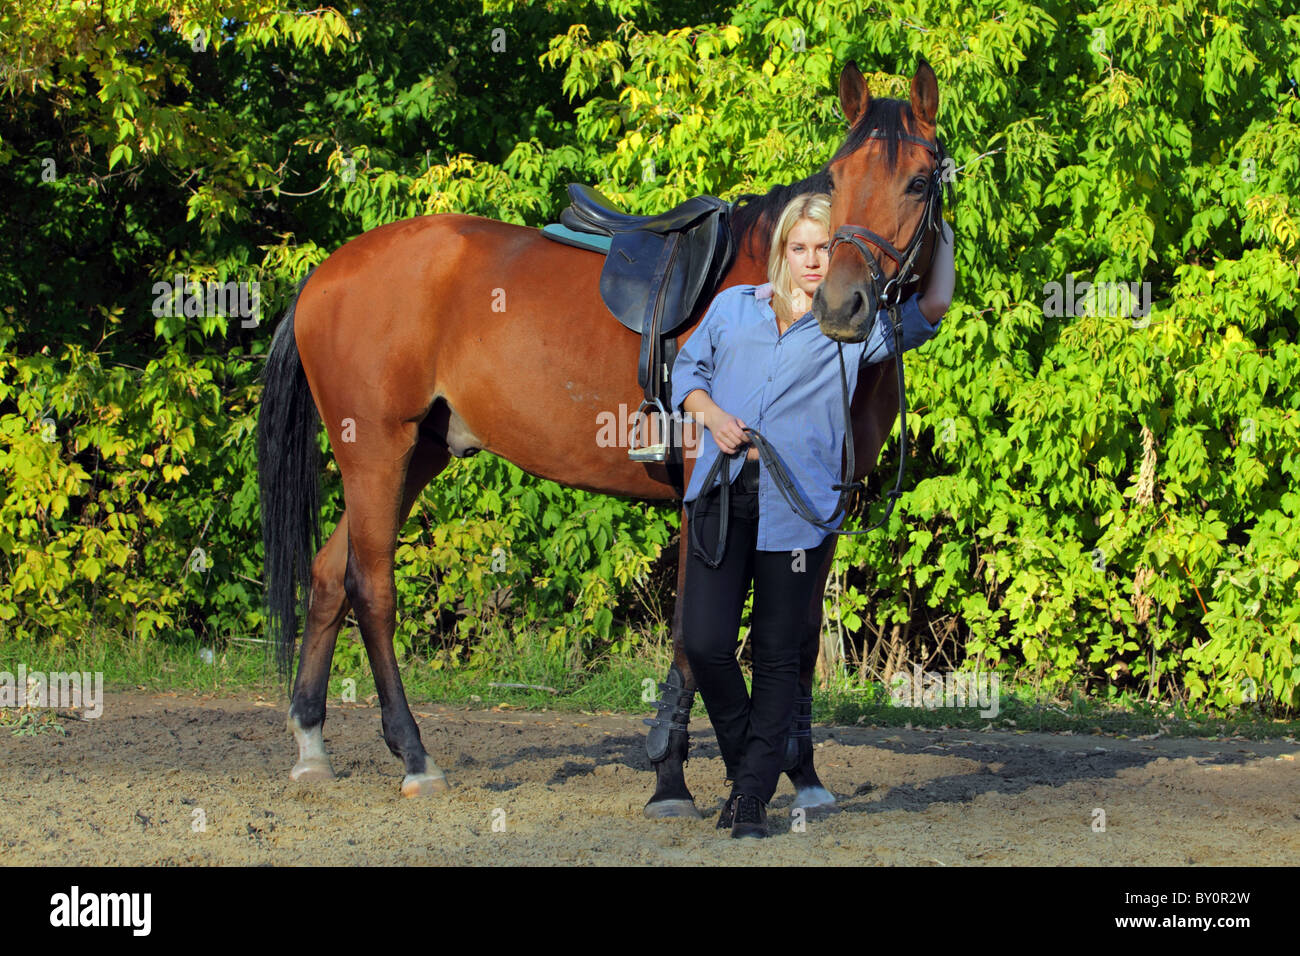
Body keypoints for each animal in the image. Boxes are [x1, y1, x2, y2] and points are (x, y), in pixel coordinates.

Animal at [256, 55, 946, 811]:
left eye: (918, 181)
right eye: (837, 181)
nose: (842, 305)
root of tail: (324, 274)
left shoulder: (819, 502)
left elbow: (795, 641)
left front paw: (804, 776)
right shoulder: (705, 494)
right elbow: (691, 640)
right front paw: (672, 776)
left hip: (416, 454)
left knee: (328, 576)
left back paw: (311, 745)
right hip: (377, 449)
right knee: (371, 587)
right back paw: (414, 756)